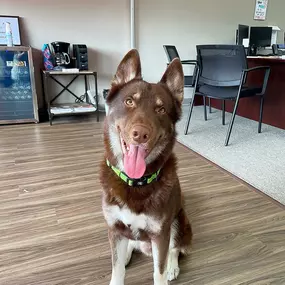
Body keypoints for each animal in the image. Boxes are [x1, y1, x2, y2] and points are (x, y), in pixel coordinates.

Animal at [99, 50, 191, 282]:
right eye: (129, 101)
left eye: (161, 109)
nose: (140, 134)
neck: (135, 182)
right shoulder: (114, 228)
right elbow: (117, 269)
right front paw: (119, 268)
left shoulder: (160, 233)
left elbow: (159, 272)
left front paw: (166, 270)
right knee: (131, 244)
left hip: (179, 221)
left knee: (175, 248)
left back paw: (172, 266)